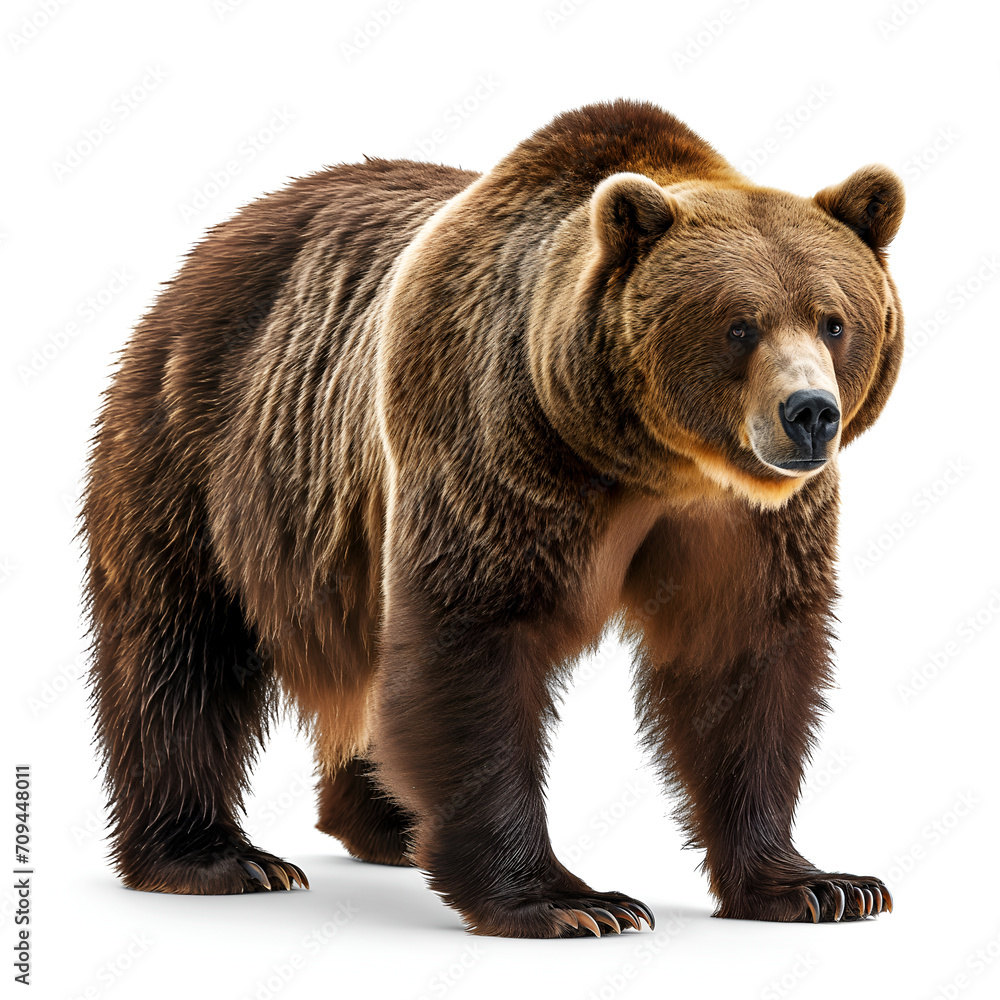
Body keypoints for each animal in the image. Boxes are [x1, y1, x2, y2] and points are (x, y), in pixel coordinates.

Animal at [83, 98, 904, 937]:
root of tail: (213, 244)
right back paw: (215, 857)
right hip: (206, 439)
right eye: (739, 325)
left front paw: (821, 885)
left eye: (833, 320)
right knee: (181, 646)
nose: (810, 414)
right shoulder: (497, 444)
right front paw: (574, 902)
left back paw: (387, 824)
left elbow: (744, 658)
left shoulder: (744, 520)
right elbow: (471, 641)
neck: (651, 461)